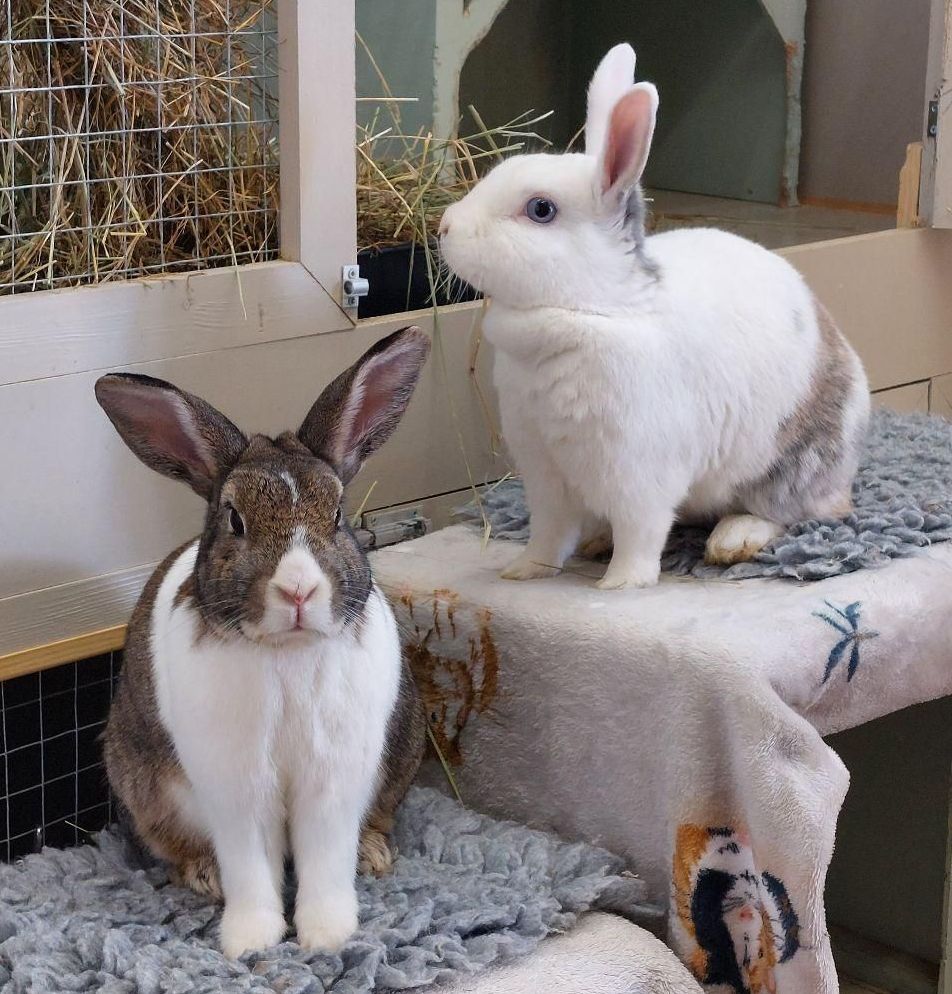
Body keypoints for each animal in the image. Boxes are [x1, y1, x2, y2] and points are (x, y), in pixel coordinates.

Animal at [95, 326, 430, 959]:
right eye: (234, 520)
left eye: (339, 514)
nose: (298, 589)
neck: (286, 652)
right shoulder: (236, 786)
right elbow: (251, 867)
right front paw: (251, 943)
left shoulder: (333, 781)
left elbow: (325, 860)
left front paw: (326, 937)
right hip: (142, 785)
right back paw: (204, 875)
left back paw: (373, 854)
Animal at [439, 43, 869, 590]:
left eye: (540, 209)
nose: (444, 227)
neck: (594, 311)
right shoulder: (545, 473)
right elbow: (549, 532)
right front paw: (523, 572)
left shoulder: (639, 474)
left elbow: (641, 532)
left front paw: (621, 584)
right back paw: (597, 540)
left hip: (792, 465)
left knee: (797, 512)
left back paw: (732, 541)